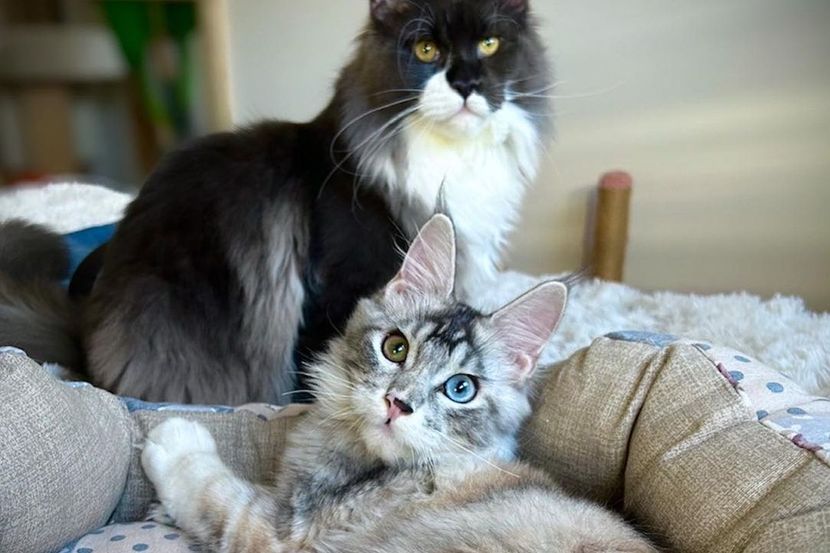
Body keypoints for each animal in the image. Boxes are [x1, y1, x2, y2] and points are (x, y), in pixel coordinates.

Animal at [142, 215, 656, 553]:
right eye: (395, 348)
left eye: (461, 389)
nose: (397, 403)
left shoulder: (282, 532)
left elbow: (214, 494)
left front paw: (174, 437)